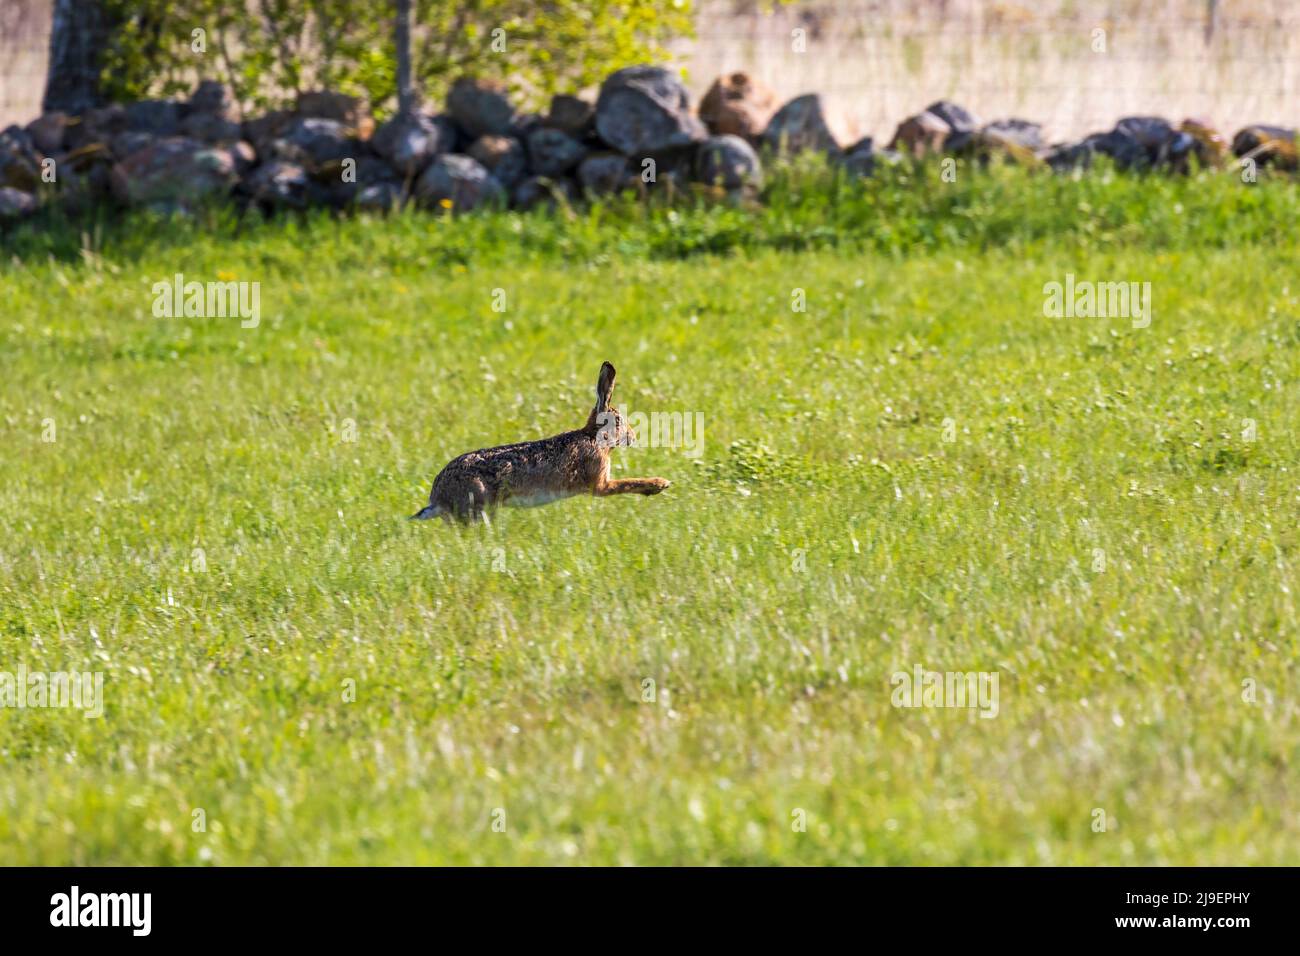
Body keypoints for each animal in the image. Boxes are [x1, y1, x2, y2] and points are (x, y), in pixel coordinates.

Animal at [410, 361, 670, 522]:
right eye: (618, 420)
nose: (632, 437)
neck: (594, 438)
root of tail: (437, 499)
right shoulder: (599, 484)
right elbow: (626, 483)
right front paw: (659, 484)